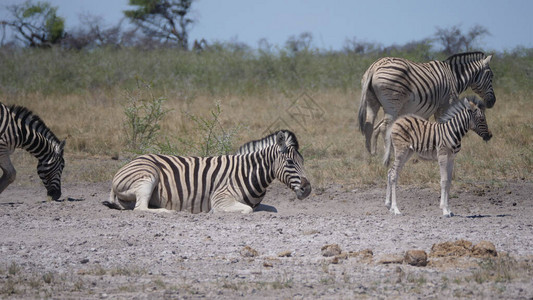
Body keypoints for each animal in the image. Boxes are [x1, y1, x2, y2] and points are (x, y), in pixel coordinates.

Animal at [104, 131, 312, 213]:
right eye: (291, 162)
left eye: (303, 161)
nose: (308, 189)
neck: (248, 172)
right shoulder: (220, 197)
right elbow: (246, 209)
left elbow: (269, 208)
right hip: (148, 176)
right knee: (141, 208)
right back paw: (167, 211)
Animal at [358, 51, 494, 157]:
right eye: (491, 76)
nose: (492, 102)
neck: (454, 77)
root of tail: (374, 66)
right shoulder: (445, 105)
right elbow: (443, 125)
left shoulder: (425, 111)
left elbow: (423, 129)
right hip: (393, 104)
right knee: (384, 128)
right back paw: (389, 153)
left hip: (372, 102)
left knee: (369, 126)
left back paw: (369, 154)